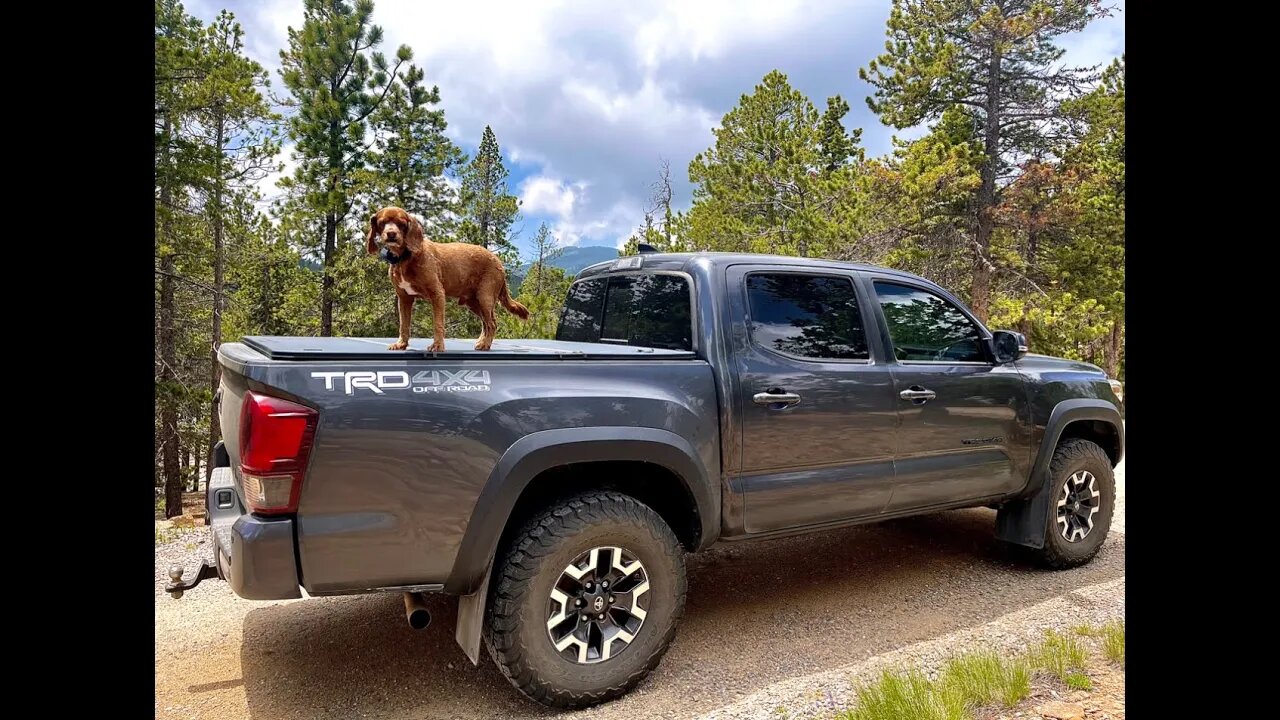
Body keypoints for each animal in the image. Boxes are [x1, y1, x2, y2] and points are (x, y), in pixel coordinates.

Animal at [368, 204, 527, 351]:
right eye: (382, 223)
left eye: (401, 223)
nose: (391, 234)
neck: (405, 258)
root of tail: (499, 263)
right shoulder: (404, 298)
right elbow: (404, 324)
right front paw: (401, 344)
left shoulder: (437, 294)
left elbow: (438, 323)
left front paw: (437, 346)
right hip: (473, 302)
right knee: (485, 323)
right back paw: (482, 342)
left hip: (485, 297)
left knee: (492, 323)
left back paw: (485, 344)